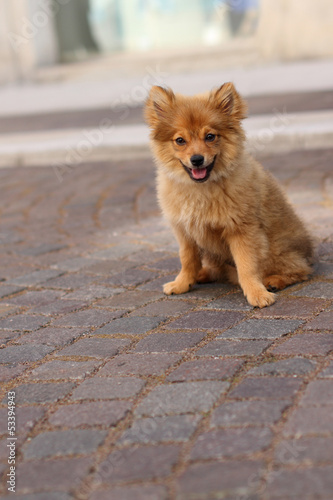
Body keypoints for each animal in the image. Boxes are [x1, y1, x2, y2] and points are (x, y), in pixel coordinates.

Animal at [144, 84, 312, 306]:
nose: (197, 159)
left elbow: (247, 266)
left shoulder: (241, 231)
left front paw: (257, 294)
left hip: (274, 250)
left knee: (300, 269)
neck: (200, 189)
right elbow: (188, 260)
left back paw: (274, 281)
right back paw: (202, 274)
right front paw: (182, 283)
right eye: (180, 140)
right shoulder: (185, 232)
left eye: (210, 136)